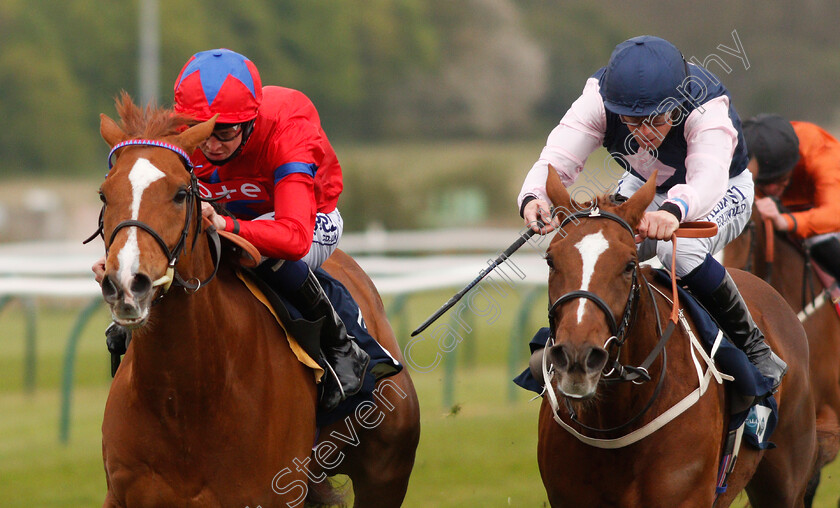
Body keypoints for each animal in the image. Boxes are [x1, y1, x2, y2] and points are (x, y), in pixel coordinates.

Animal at [97, 94, 418, 504]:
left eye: (180, 194)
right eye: (105, 194)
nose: (127, 283)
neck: (185, 396)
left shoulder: (272, 492)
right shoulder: (124, 494)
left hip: (386, 472)